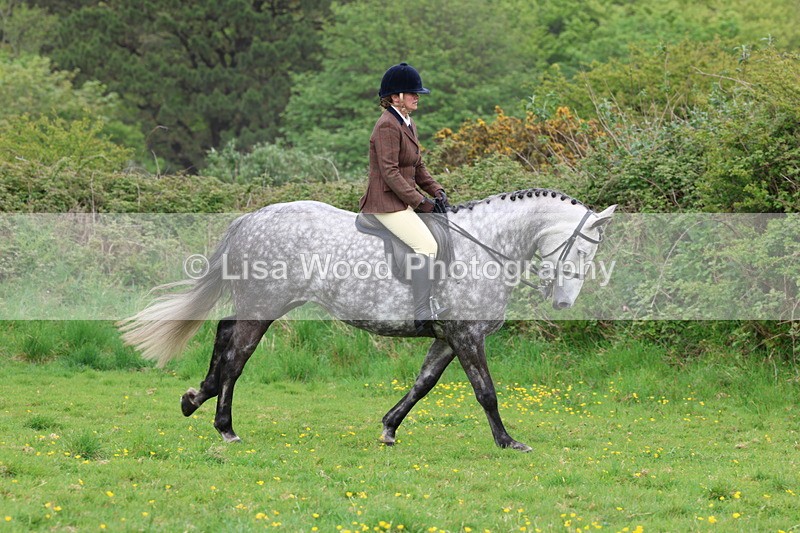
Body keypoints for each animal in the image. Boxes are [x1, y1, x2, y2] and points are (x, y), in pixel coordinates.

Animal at [118, 189, 615, 452]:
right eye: (581, 249)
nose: (564, 304)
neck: (485, 246)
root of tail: (251, 219)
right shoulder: (467, 334)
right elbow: (486, 392)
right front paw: (508, 442)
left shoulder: (448, 337)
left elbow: (423, 383)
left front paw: (389, 427)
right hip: (266, 303)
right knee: (238, 356)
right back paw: (225, 427)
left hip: (260, 302)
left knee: (224, 336)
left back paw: (194, 398)